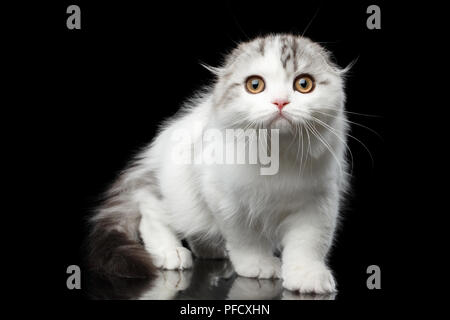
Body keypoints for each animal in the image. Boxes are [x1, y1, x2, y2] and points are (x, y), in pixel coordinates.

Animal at [87, 33, 348, 294]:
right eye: (255, 85)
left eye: (304, 84)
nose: (280, 102)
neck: (276, 155)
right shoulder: (224, 198)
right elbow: (246, 239)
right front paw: (259, 264)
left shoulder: (318, 203)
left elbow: (309, 244)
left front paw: (307, 276)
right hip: (180, 198)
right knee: (150, 212)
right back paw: (171, 252)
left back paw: (211, 250)